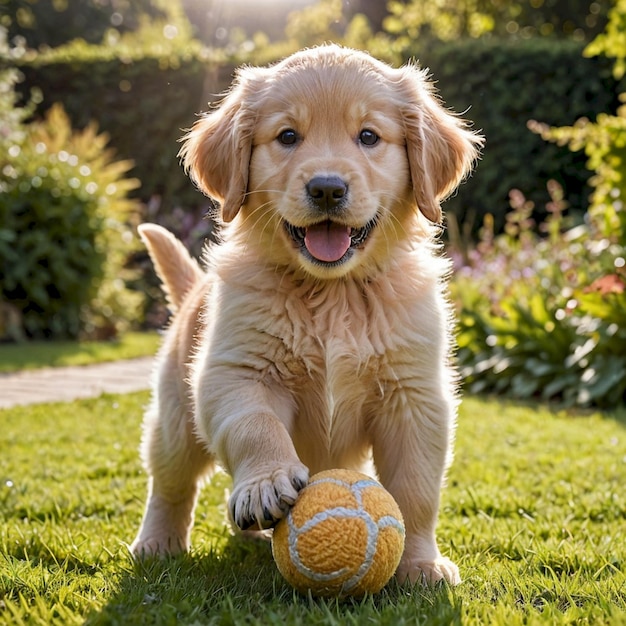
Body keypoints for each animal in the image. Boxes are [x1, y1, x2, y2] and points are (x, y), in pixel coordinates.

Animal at [132, 45, 480, 584]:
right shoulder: (235, 371)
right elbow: (255, 425)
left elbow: (416, 488)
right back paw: (158, 541)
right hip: (174, 417)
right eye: (288, 136)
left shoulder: (414, 395)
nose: (327, 189)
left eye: (369, 136)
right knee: (170, 483)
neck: (332, 294)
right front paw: (267, 482)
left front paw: (420, 563)